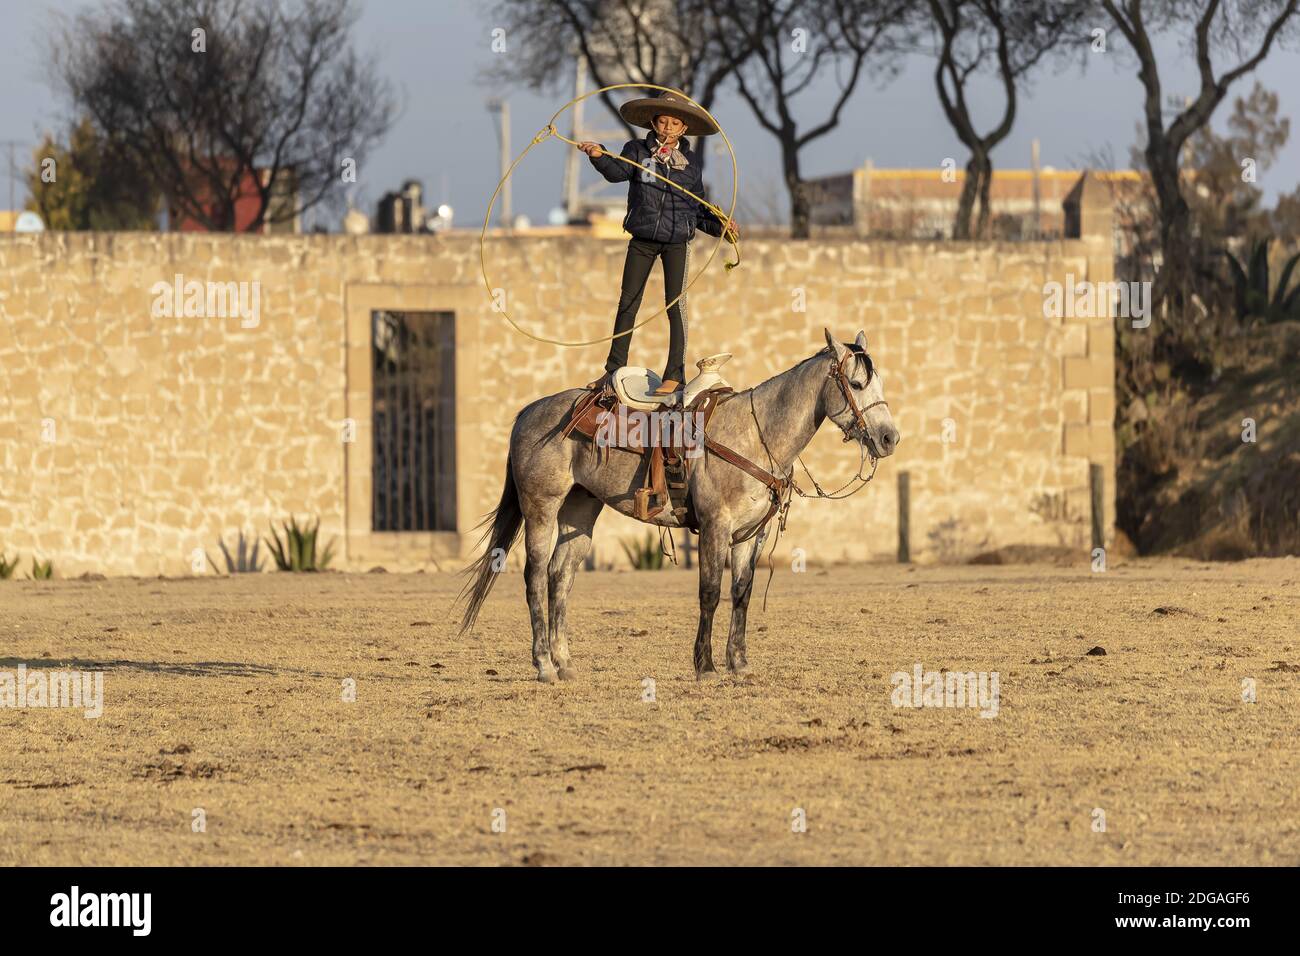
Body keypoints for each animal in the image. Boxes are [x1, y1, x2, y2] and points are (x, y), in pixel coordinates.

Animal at [457, 328, 900, 682]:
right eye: (856, 383)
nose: (889, 438)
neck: (755, 436)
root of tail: (527, 413)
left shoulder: (750, 535)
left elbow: (742, 593)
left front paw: (738, 664)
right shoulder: (715, 528)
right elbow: (710, 592)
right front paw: (705, 665)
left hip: (580, 512)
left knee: (559, 576)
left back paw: (564, 663)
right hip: (542, 509)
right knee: (534, 577)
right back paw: (544, 665)